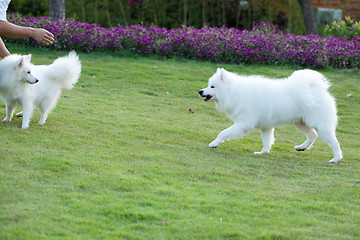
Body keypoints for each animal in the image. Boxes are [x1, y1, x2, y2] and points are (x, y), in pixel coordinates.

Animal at [200, 68, 344, 164]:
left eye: (212, 86)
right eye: (208, 85)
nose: (200, 91)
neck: (233, 92)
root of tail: (317, 88)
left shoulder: (243, 124)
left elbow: (223, 133)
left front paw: (214, 143)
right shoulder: (265, 127)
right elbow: (267, 141)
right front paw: (262, 153)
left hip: (321, 126)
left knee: (334, 142)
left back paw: (336, 159)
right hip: (300, 123)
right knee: (313, 135)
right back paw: (302, 147)